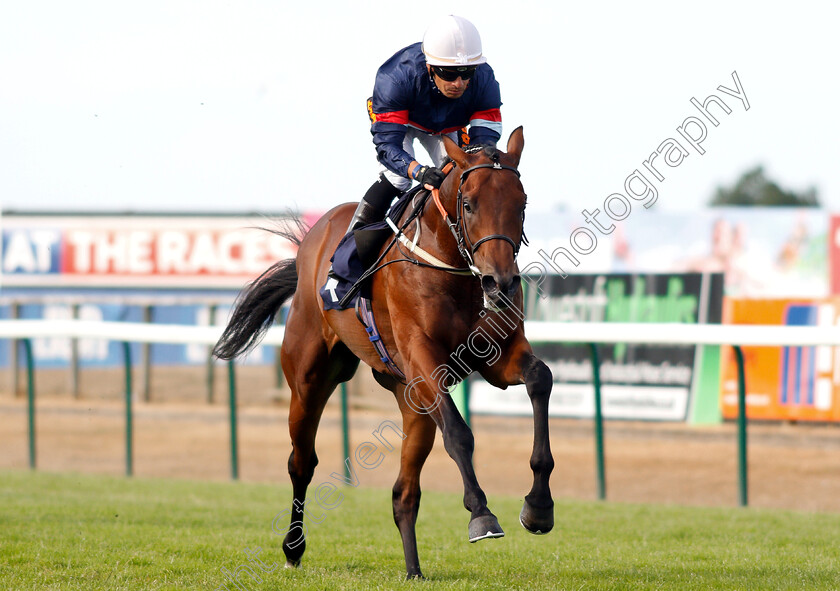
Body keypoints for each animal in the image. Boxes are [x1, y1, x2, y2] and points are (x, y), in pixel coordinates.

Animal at [213, 127, 556, 580]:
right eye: (468, 204)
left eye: (522, 203)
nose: (499, 283)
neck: (456, 270)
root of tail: (311, 241)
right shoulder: (424, 359)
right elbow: (459, 433)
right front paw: (482, 515)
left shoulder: (497, 357)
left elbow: (539, 378)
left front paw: (538, 507)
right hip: (309, 381)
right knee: (302, 462)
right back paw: (292, 547)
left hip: (412, 401)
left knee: (403, 493)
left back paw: (413, 569)